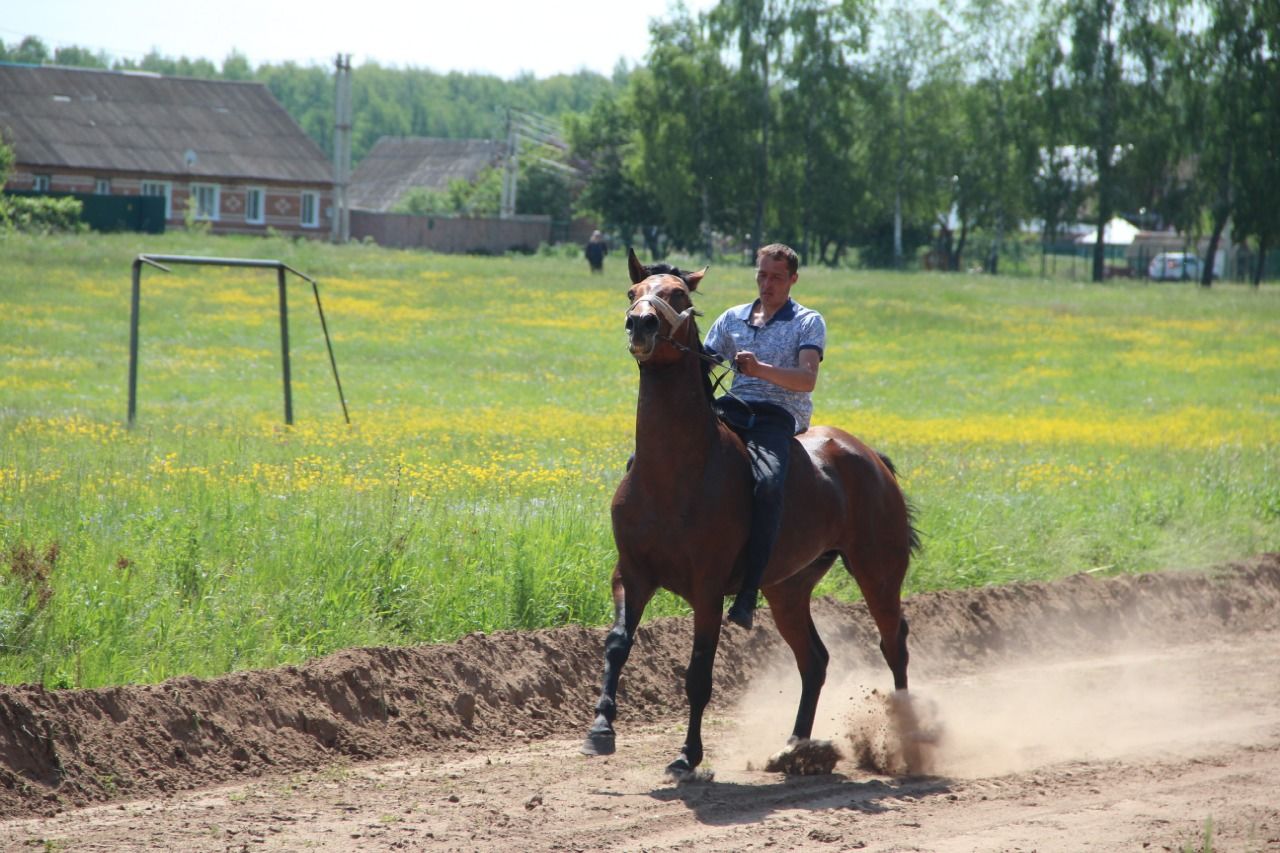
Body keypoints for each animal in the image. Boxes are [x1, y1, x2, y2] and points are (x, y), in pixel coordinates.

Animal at [581, 251, 921, 778]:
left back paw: (903, 737)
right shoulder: (632, 574)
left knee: (893, 644)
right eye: (633, 292)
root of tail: (870, 458)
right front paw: (601, 729)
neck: (674, 472)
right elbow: (617, 643)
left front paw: (687, 755)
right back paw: (796, 746)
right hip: (787, 589)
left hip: (878, 572)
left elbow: (699, 674)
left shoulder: (707, 590)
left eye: (679, 295)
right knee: (814, 660)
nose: (641, 324)